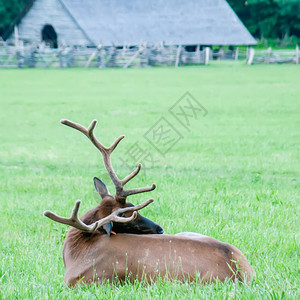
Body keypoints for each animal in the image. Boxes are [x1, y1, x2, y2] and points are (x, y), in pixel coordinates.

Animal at [44, 119, 255, 286]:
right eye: (128, 214)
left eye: (132, 209)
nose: (160, 229)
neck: (76, 253)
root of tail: (242, 272)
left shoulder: (89, 281)